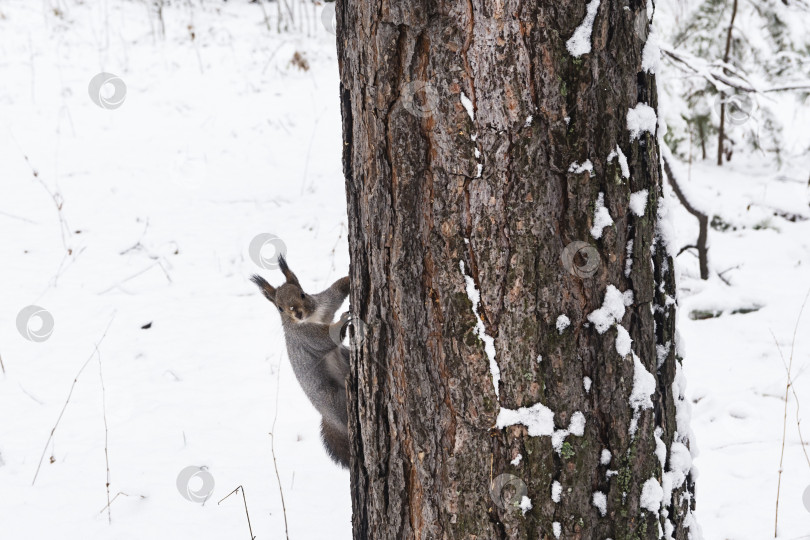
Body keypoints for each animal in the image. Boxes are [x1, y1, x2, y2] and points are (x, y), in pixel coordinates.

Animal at [249, 255, 350, 466]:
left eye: (303, 294)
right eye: (280, 308)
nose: (298, 313)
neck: (311, 318)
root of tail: (328, 419)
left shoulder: (323, 305)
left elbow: (335, 292)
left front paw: (349, 278)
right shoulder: (305, 338)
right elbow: (326, 339)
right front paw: (343, 321)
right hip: (332, 398)